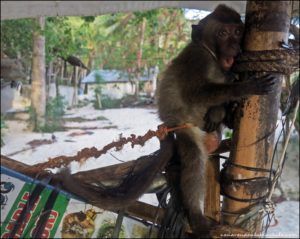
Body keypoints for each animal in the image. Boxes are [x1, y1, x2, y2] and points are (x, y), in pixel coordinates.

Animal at [157, 3, 276, 237]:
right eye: (222, 34)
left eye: (237, 32)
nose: (233, 46)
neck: (213, 57)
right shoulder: (197, 59)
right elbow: (195, 93)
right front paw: (244, 87)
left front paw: (220, 111)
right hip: (184, 127)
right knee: (194, 158)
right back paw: (197, 218)